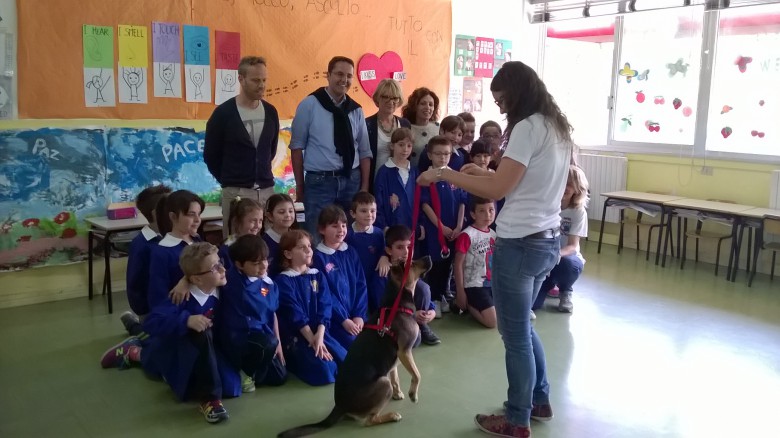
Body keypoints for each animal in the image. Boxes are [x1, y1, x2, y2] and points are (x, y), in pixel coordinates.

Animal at [276, 256, 436, 438]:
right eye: (412, 262)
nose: (429, 257)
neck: (395, 304)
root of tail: (340, 406)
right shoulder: (405, 351)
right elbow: (417, 374)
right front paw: (413, 394)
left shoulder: (396, 358)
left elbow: (395, 378)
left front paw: (399, 394)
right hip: (383, 383)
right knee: (369, 420)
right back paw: (391, 416)